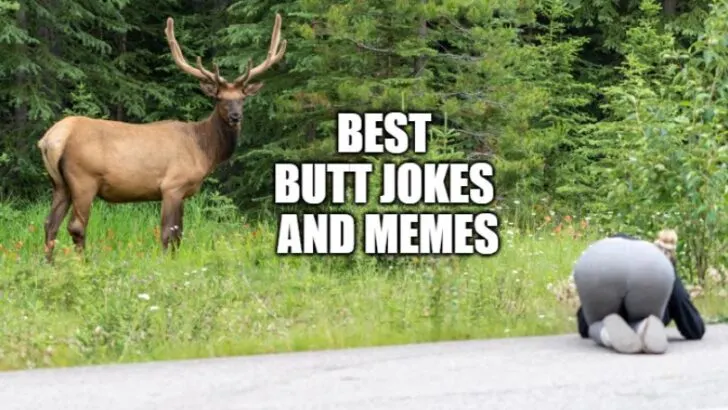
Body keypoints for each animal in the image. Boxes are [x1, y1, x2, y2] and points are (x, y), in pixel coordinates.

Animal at [37, 13, 288, 262]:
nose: (236, 116)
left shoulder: (183, 192)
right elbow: (168, 233)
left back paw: (49, 263)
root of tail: (51, 139)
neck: (204, 149)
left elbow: (179, 234)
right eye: (220, 99)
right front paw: (165, 263)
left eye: (242, 98)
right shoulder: (172, 185)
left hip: (59, 184)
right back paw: (81, 263)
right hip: (83, 180)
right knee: (76, 226)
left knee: (50, 224)